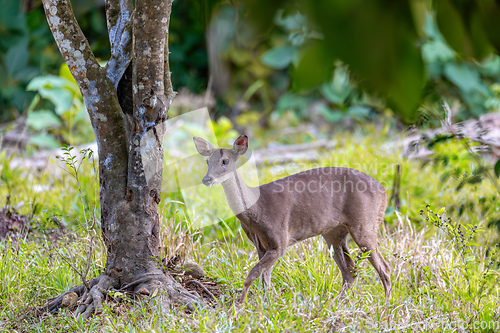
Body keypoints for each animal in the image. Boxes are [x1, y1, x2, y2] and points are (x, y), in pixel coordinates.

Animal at [193, 134, 392, 302]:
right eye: (207, 161)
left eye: (225, 161)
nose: (206, 179)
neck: (257, 211)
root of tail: (384, 191)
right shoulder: (261, 245)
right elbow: (265, 278)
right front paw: (267, 304)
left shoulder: (280, 239)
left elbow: (252, 275)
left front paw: (240, 305)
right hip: (333, 232)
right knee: (350, 270)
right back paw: (336, 302)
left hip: (365, 222)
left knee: (384, 267)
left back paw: (385, 305)